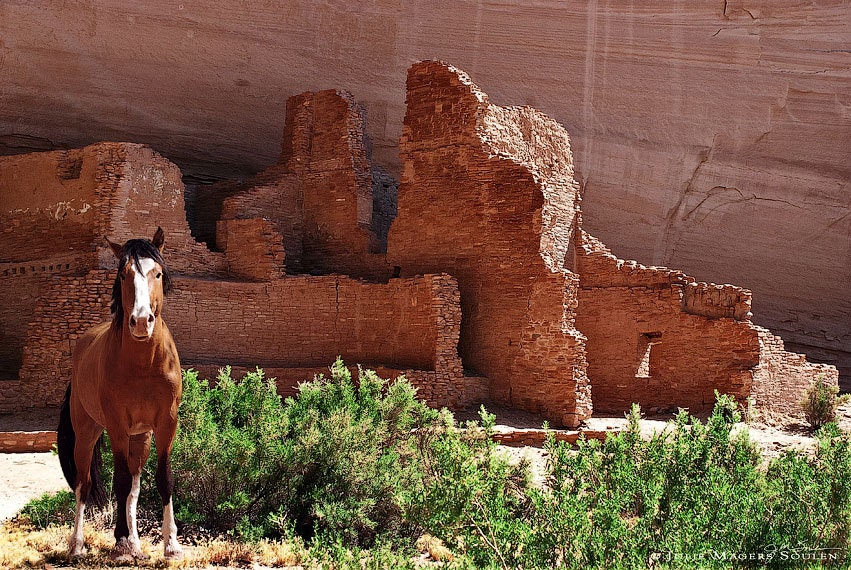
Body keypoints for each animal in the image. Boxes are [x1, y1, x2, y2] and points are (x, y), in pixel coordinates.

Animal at [57, 227, 183, 562]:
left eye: (157, 273)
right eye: (124, 274)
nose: (140, 321)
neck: (143, 364)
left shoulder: (166, 424)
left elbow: (162, 479)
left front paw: (171, 545)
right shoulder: (116, 426)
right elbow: (120, 481)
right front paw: (121, 544)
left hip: (140, 436)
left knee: (135, 487)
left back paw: (136, 543)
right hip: (87, 432)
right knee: (83, 484)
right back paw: (77, 545)